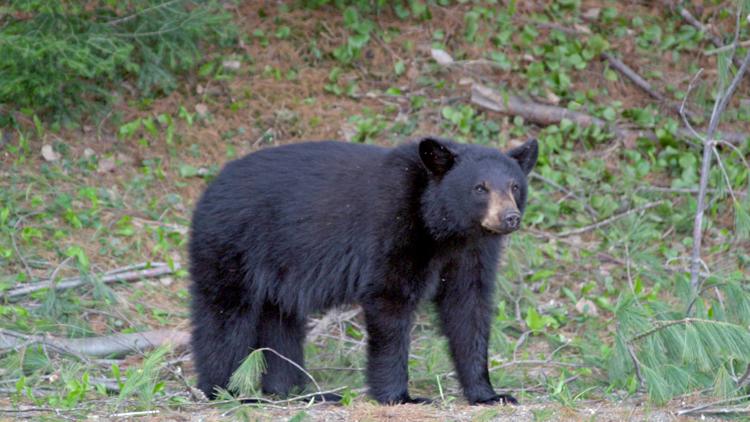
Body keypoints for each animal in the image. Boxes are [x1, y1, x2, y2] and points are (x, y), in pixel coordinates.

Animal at [188, 136, 538, 405]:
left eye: (514, 186)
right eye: (480, 188)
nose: (510, 217)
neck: (444, 229)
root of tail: (210, 187)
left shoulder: (472, 254)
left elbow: (469, 309)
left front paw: (489, 394)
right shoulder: (393, 230)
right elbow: (390, 300)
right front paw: (400, 396)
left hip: (279, 270)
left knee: (281, 320)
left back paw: (298, 392)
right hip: (234, 245)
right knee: (225, 316)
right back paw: (229, 391)